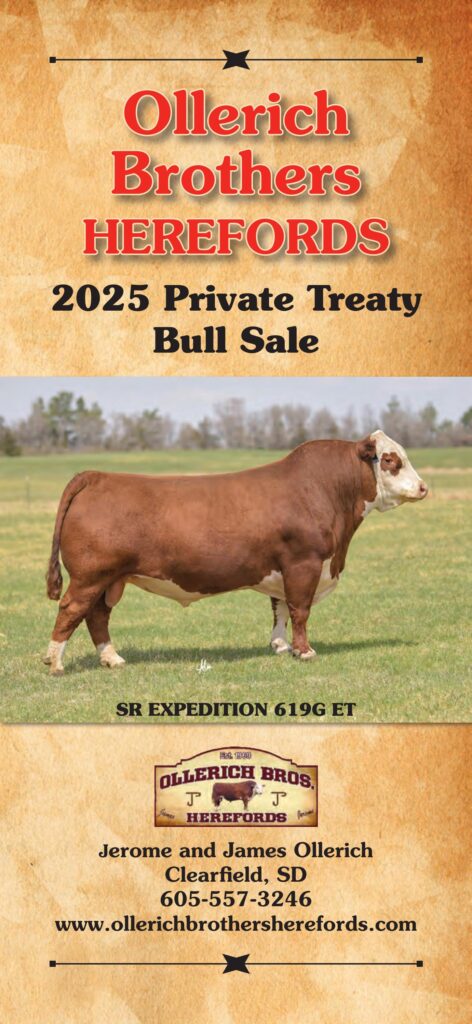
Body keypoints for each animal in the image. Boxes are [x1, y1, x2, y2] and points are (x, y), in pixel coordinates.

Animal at [43, 430, 428, 675]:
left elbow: (279, 609)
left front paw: (281, 646)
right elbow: (300, 610)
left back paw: (112, 659)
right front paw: (304, 652)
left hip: (111, 580)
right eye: (390, 459)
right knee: (71, 609)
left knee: (97, 616)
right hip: (91, 575)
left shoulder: (282, 569)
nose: (424, 487)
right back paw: (56, 663)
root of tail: (97, 475)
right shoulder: (304, 563)